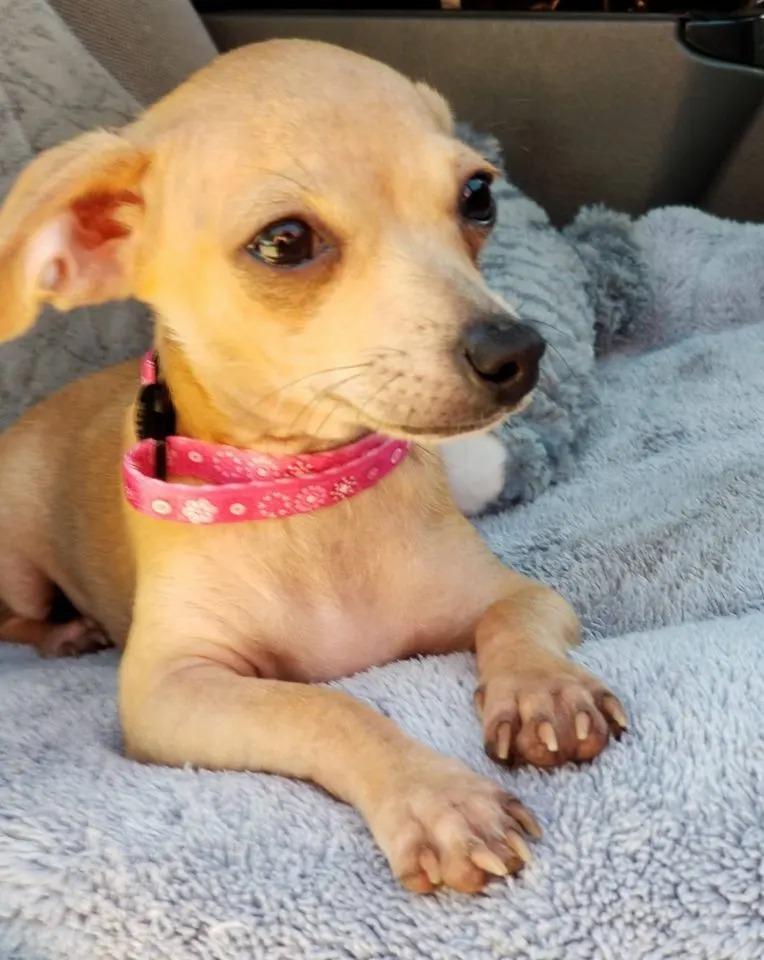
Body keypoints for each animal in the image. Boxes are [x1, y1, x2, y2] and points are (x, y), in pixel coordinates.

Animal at [0, 37, 628, 892]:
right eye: (285, 241)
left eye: (478, 196)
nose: (519, 353)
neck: (310, 495)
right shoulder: (172, 690)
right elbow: (324, 707)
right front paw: (437, 797)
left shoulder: (514, 592)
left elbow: (518, 621)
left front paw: (546, 693)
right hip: (16, 559)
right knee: (17, 616)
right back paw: (68, 633)